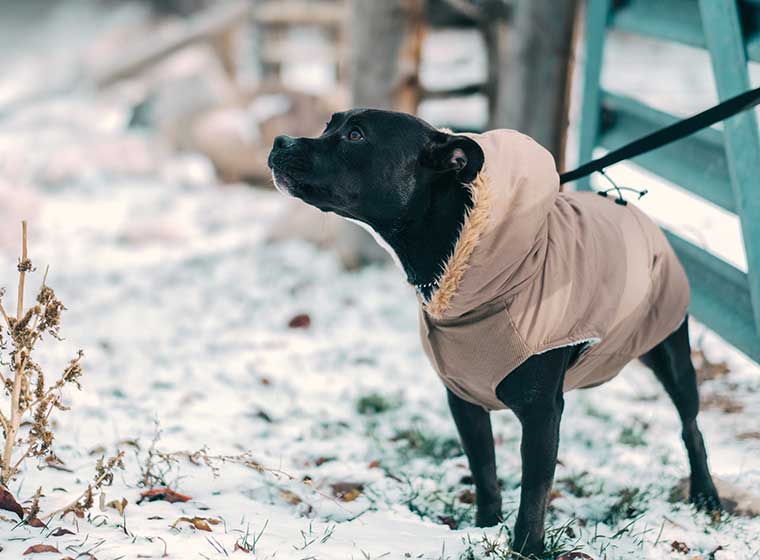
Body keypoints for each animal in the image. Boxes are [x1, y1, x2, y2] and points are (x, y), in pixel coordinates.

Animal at [268, 108, 720, 556]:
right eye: (329, 125)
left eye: (356, 135)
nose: (280, 141)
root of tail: (636, 211)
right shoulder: (464, 400)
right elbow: (484, 471)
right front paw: (485, 527)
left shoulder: (541, 413)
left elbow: (534, 493)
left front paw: (527, 547)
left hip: (672, 352)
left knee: (691, 426)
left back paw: (706, 495)